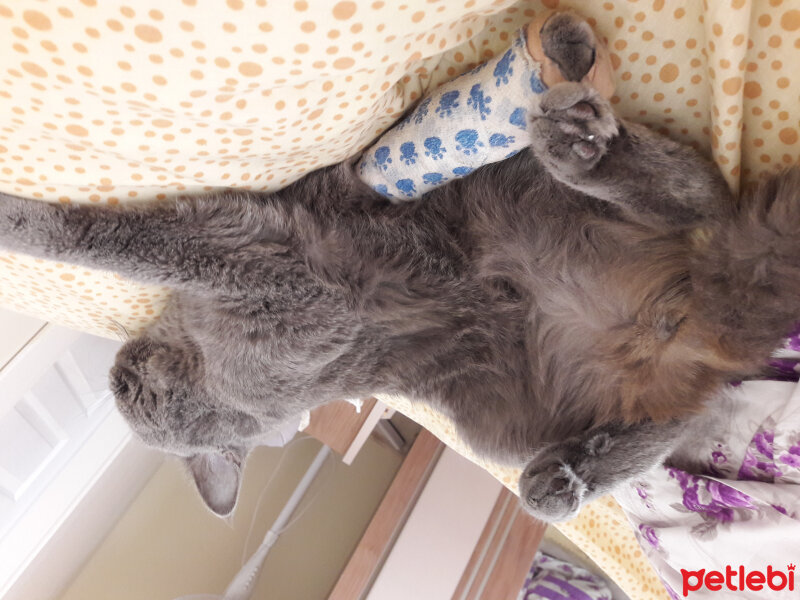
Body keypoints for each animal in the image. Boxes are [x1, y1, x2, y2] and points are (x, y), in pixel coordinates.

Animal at [1, 32, 800, 524]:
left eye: (140, 405)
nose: (121, 378)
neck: (227, 374)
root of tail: (685, 322)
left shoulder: (244, 245)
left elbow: (102, 240)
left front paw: (16, 221)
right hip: (499, 420)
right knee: (682, 415)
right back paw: (562, 480)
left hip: (538, 200)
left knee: (704, 195)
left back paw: (586, 151)